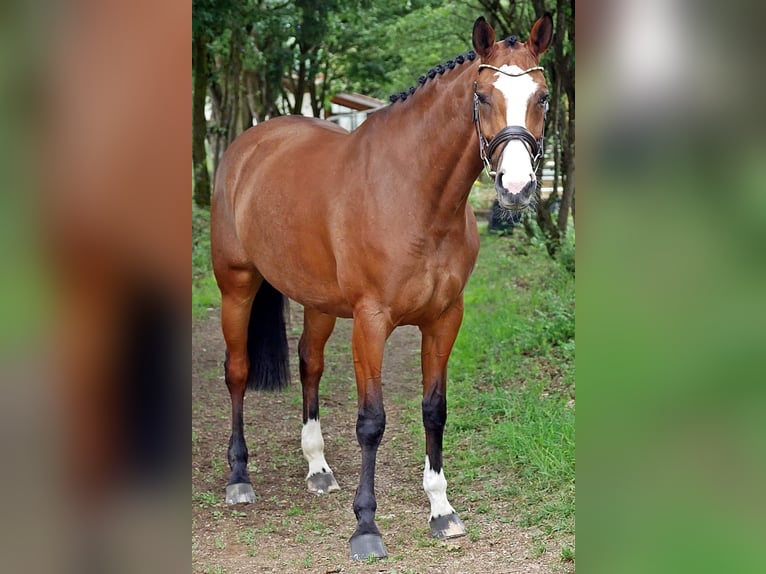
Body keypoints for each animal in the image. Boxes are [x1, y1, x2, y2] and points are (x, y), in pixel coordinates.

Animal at [213, 13, 556, 564]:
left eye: (542, 96)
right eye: (482, 96)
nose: (518, 187)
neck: (416, 194)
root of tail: (248, 146)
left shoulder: (444, 319)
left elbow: (434, 411)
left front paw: (442, 510)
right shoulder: (371, 322)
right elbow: (371, 422)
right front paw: (366, 526)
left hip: (318, 302)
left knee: (310, 364)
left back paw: (318, 468)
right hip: (236, 285)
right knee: (238, 371)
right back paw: (239, 478)